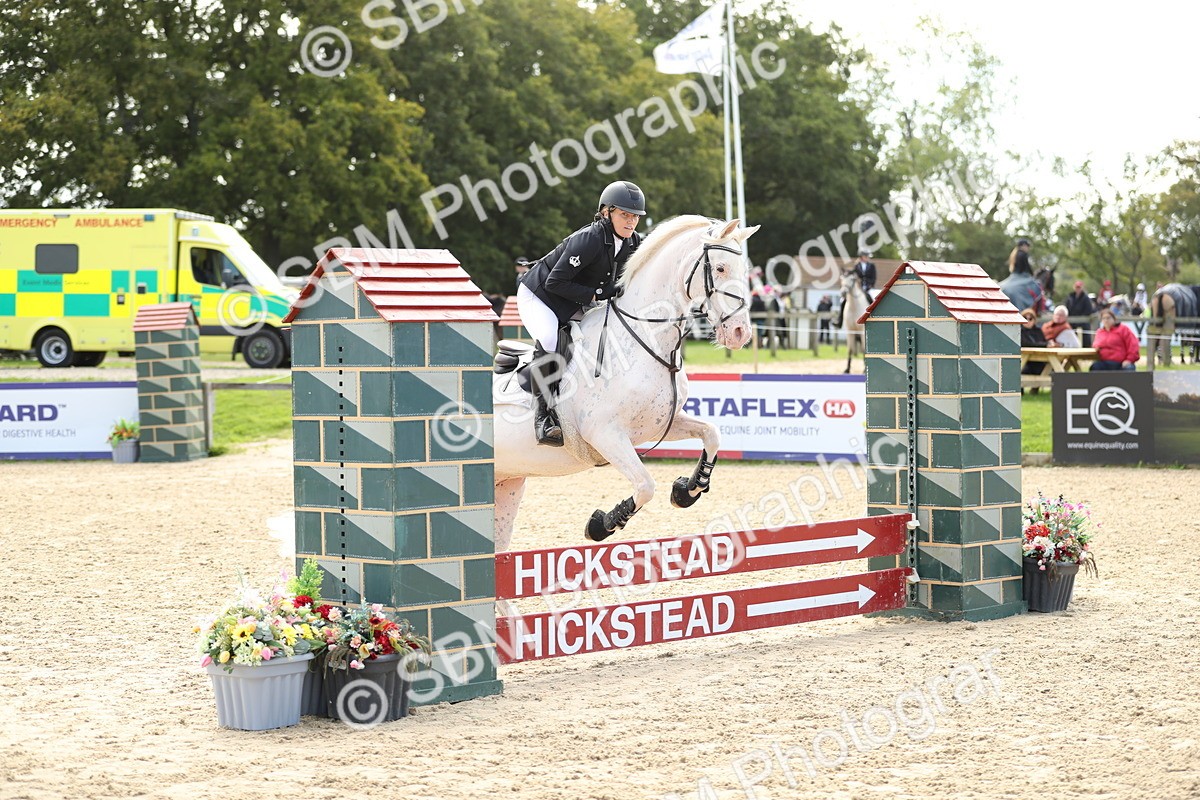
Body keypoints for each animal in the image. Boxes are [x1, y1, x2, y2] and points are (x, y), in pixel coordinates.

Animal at [491, 216, 757, 552]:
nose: (740, 334)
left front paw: (687, 490)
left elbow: (712, 434)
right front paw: (601, 525)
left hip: (506, 482)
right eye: (720, 268)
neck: (644, 337)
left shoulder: (658, 425)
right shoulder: (605, 434)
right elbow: (645, 486)